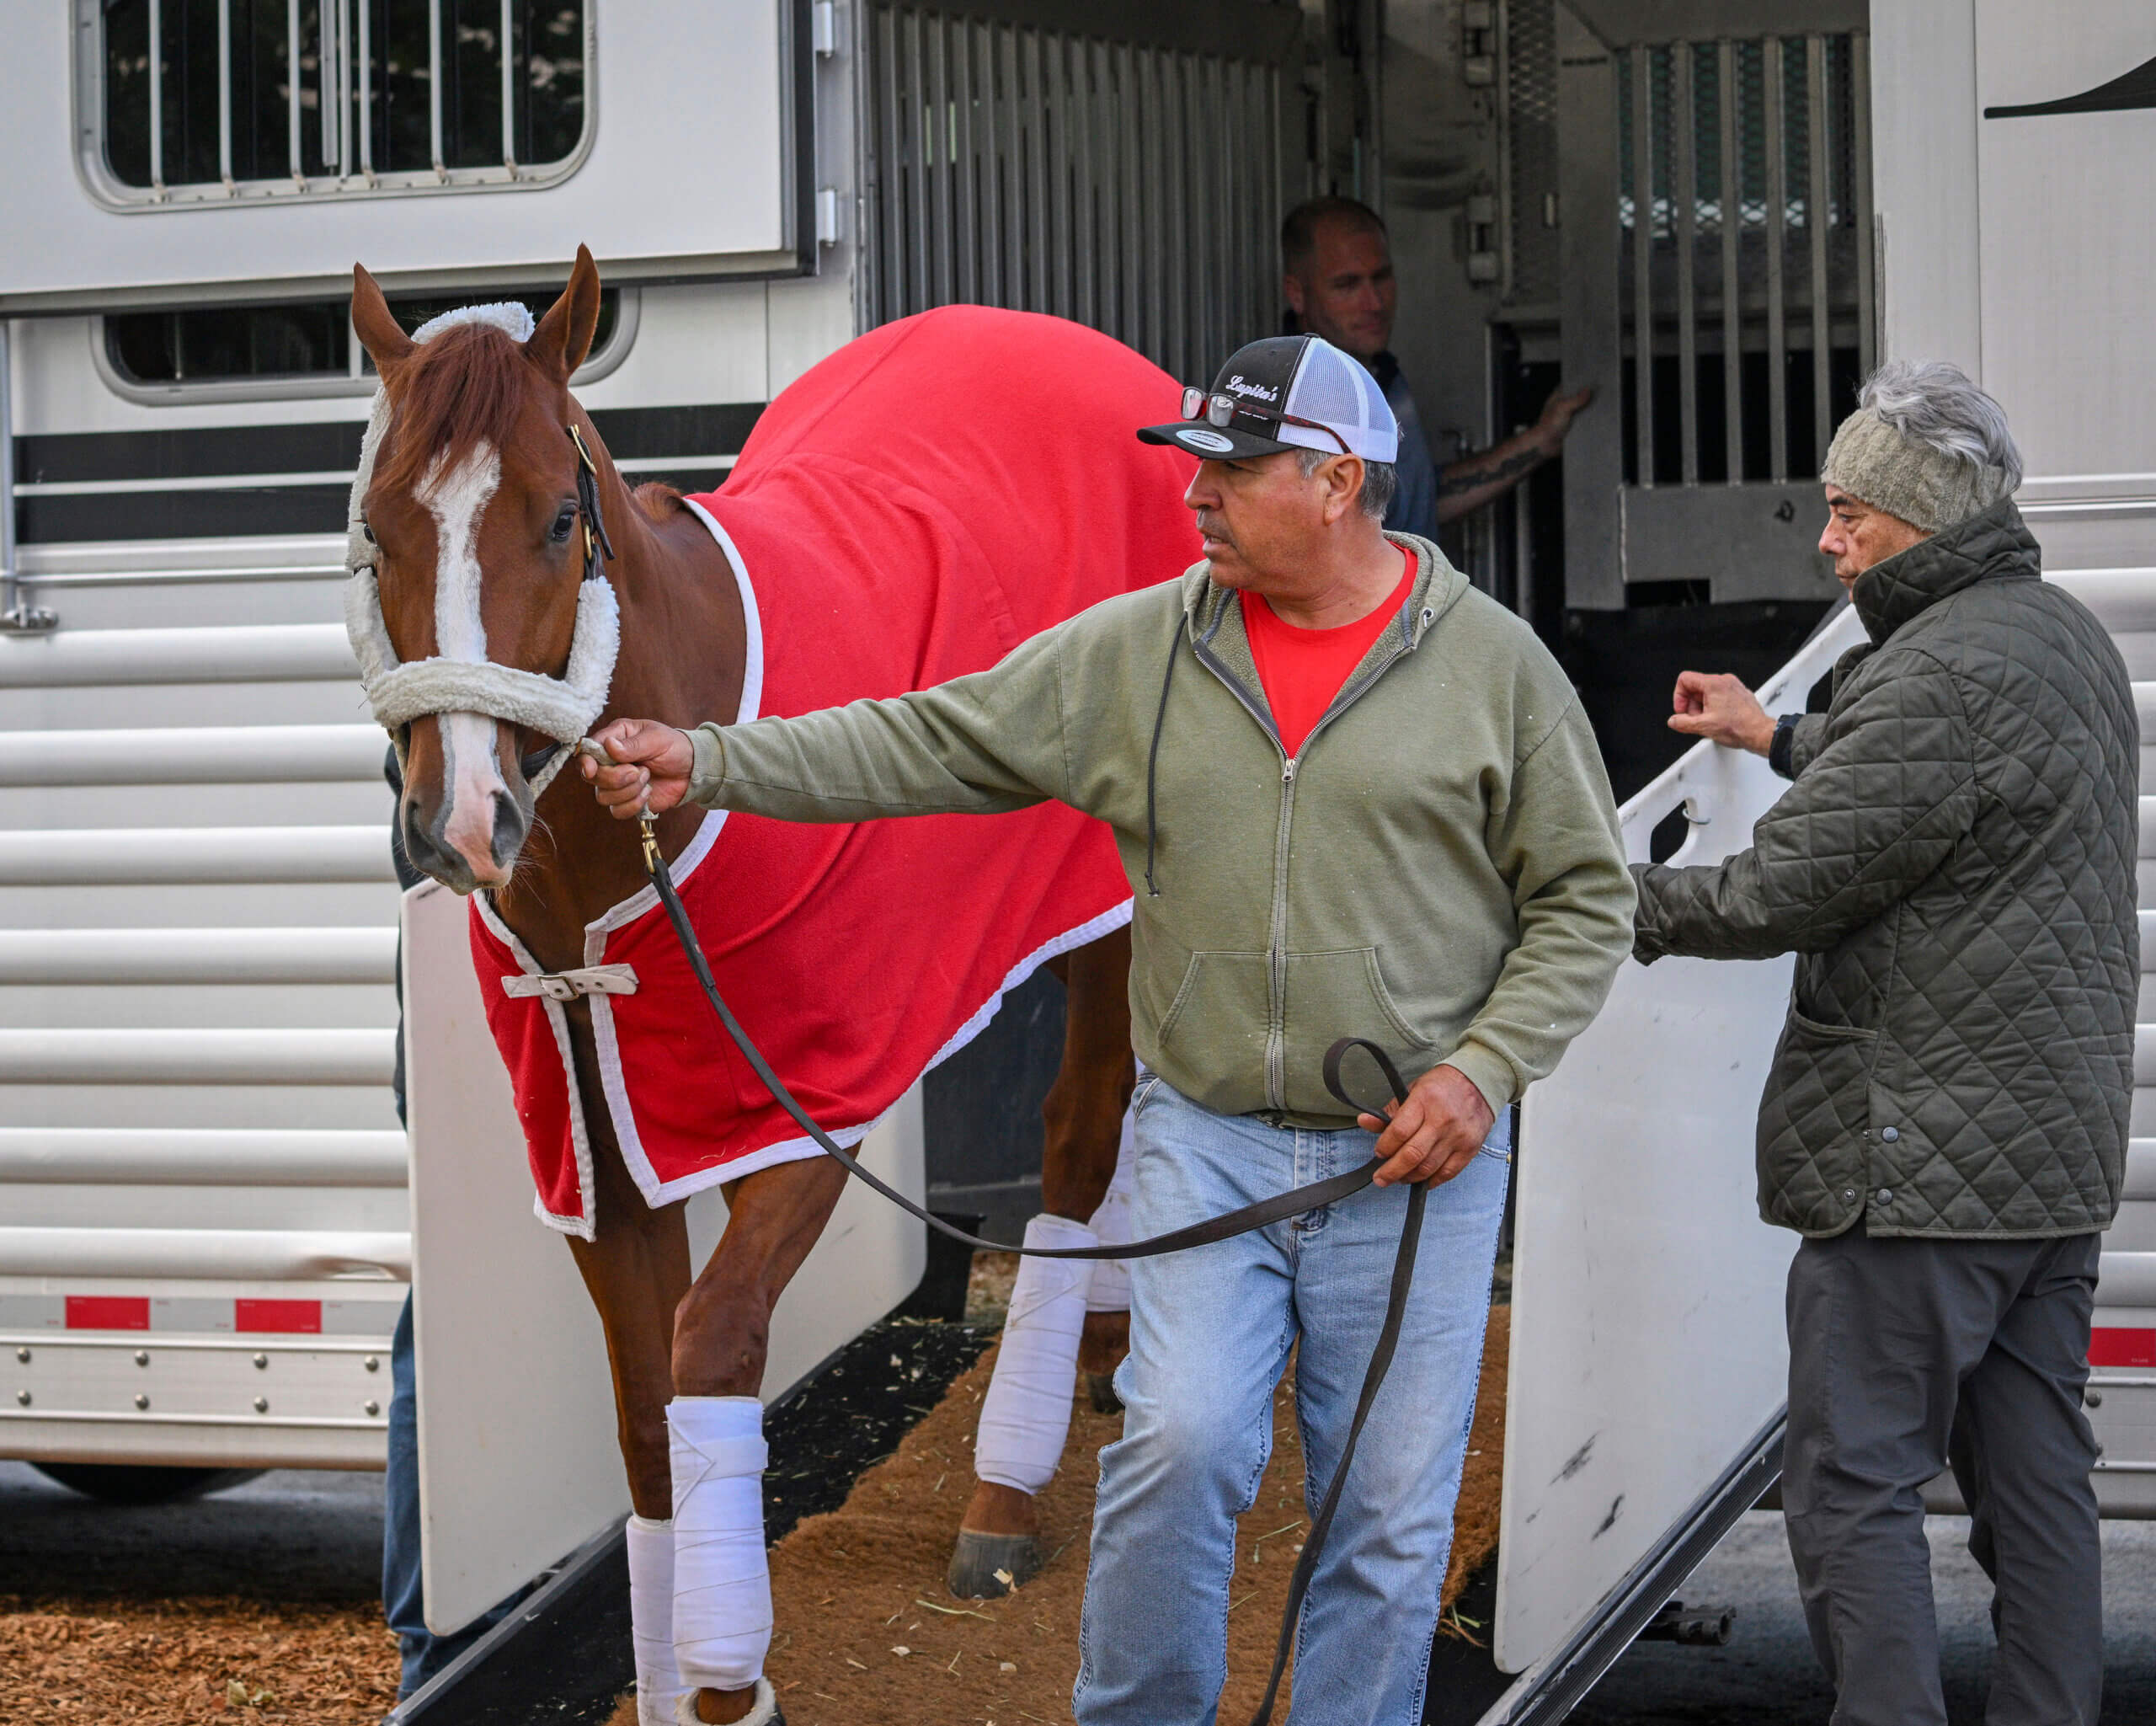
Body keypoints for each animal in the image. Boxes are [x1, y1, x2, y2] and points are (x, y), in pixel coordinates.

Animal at [353, 256, 1164, 1726]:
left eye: (561, 517)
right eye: (382, 533)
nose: (465, 820)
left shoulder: (798, 1114)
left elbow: (712, 1349)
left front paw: (726, 1679)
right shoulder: (602, 1146)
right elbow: (641, 1413)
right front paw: (677, 1679)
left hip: (1110, 901)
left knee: (1082, 1127)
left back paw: (1007, 1490)